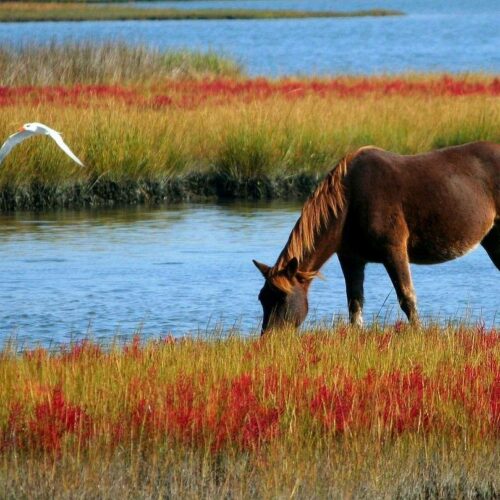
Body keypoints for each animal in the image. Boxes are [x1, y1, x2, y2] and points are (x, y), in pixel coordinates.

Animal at [254, 141, 500, 332]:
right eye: (262, 298)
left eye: (282, 297)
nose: (269, 338)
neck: (349, 203)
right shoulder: (351, 258)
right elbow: (354, 304)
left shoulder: (394, 251)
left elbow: (407, 298)